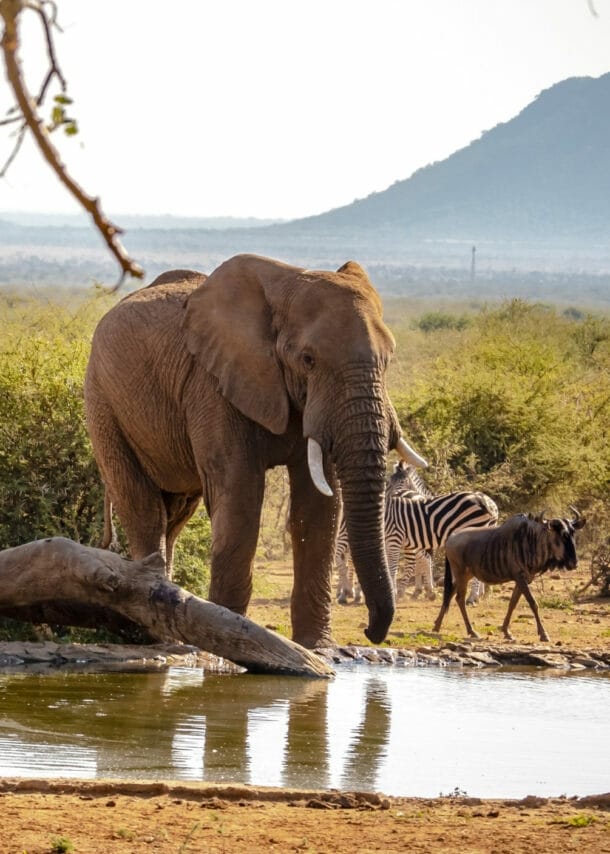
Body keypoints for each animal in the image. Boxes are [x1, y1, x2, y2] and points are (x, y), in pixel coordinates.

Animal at [84, 254, 426, 649]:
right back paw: (158, 635)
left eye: (389, 359)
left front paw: (316, 646)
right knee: (144, 509)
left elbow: (319, 507)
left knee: (175, 514)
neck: (285, 284)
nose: (371, 631)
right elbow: (240, 495)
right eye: (308, 359)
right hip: (102, 401)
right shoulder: (212, 384)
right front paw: (224, 639)